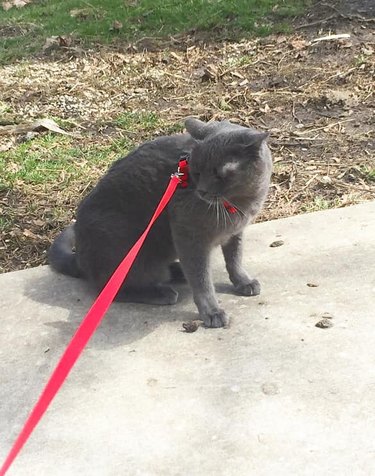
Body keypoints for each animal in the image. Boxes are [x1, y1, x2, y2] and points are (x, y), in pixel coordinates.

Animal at [49, 118, 274, 328]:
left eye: (219, 174)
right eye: (197, 172)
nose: (201, 191)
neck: (239, 203)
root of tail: (80, 258)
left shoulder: (235, 232)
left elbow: (235, 259)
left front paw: (243, 282)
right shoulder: (189, 234)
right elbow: (201, 279)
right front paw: (212, 312)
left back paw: (177, 271)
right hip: (123, 242)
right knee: (109, 289)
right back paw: (162, 292)